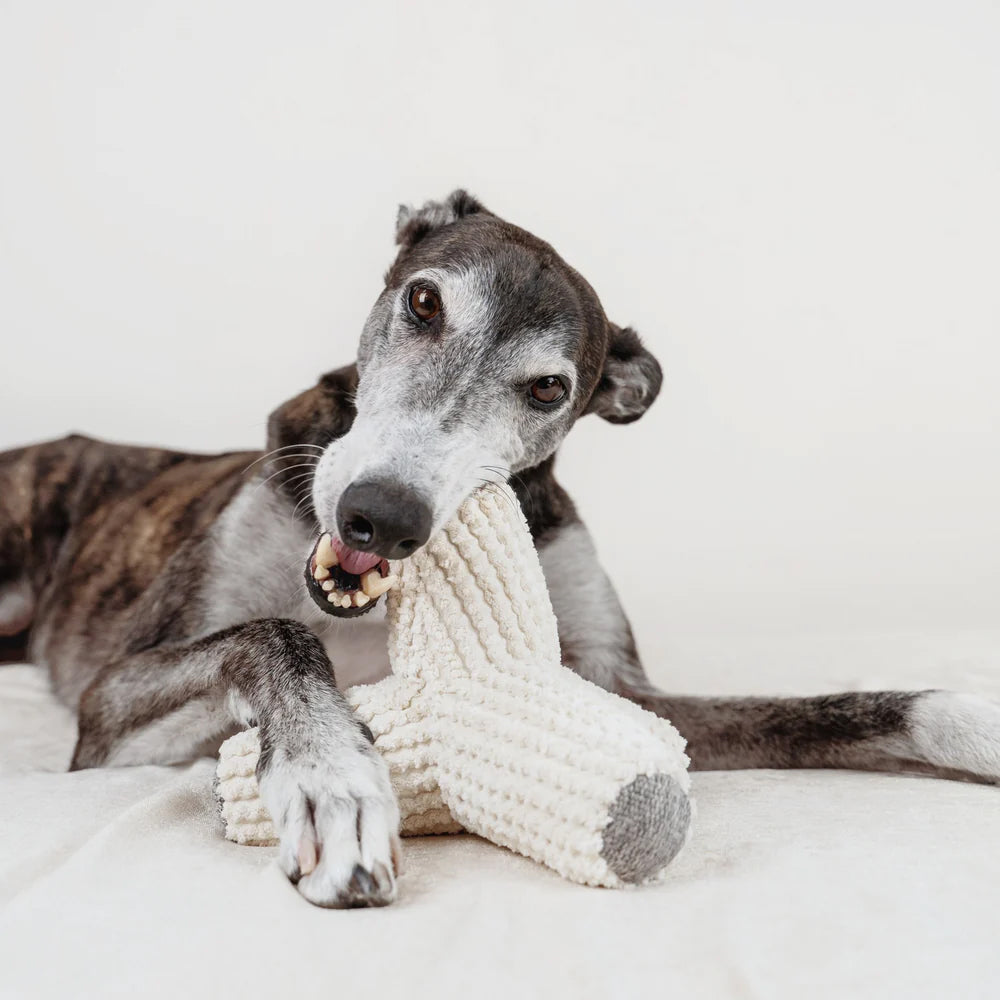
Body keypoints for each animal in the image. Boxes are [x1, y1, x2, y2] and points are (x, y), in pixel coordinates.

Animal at [1, 191, 1000, 912]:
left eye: (550, 389)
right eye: (424, 300)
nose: (379, 518)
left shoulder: (618, 690)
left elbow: (843, 708)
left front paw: (974, 724)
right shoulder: (110, 713)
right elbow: (276, 636)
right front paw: (334, 781)